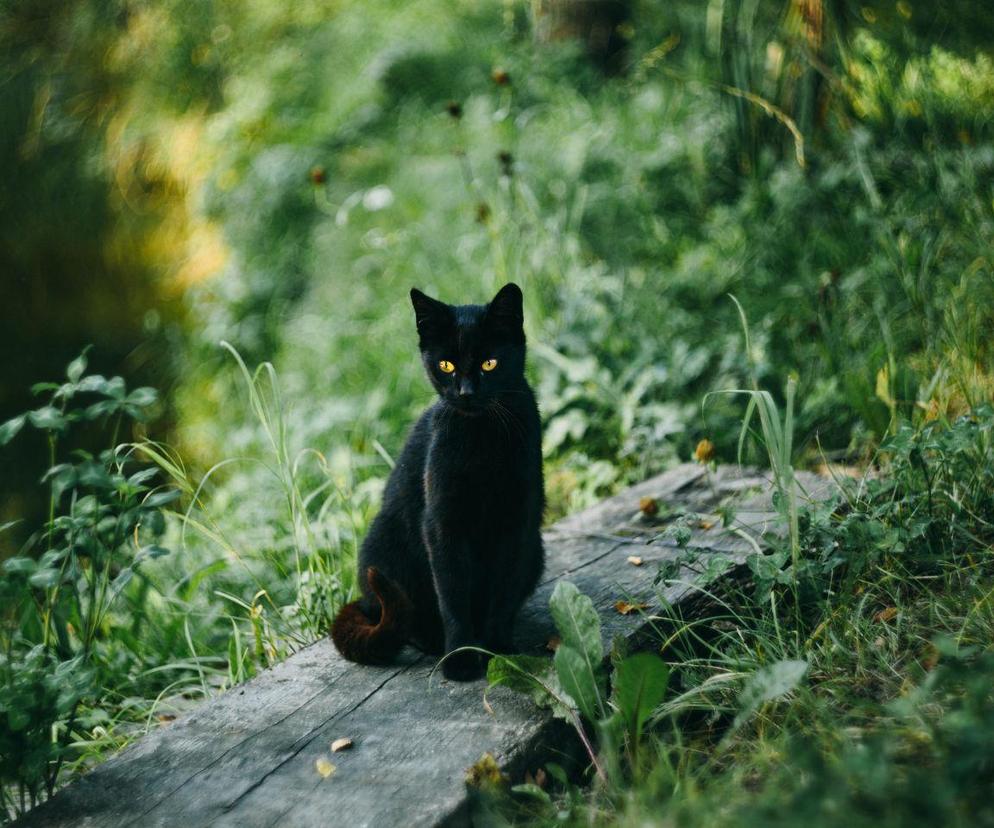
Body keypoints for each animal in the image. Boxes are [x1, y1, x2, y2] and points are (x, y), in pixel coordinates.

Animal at [330, 284, 544, 680]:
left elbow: (502, 593)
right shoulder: (442, 523)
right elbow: (453, 595)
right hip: (385, 547)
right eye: (446, 365)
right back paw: (433, 641)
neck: (481, 438)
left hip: (536, 550)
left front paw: (499, 651)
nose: (466, 392)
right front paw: (461, 658)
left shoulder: (516, 522)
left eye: (489, 363)